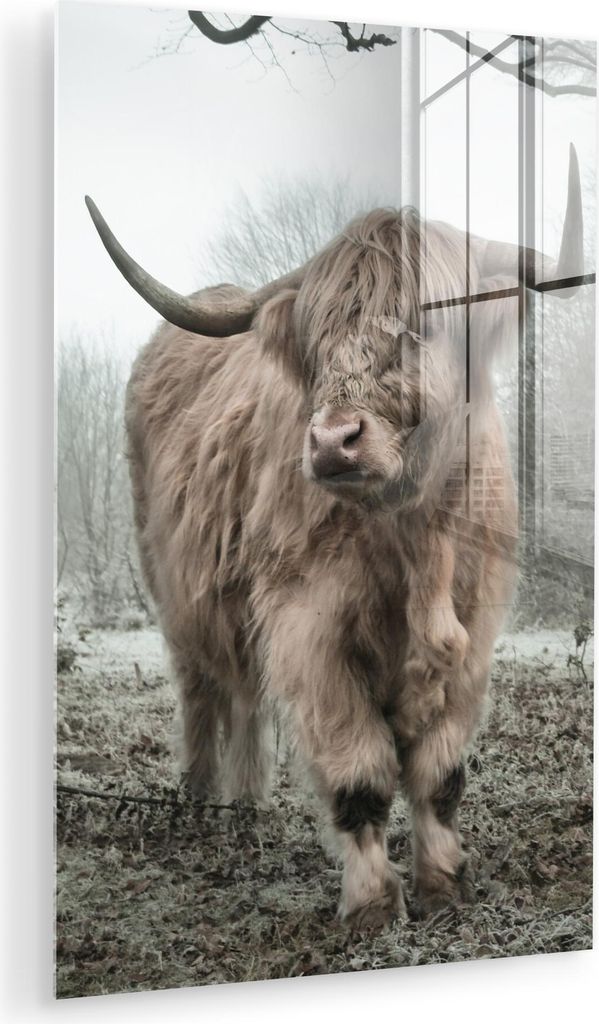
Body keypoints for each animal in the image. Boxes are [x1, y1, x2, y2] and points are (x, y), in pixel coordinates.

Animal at [85, 147, 582, 929]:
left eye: (422, 329)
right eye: (317, 341)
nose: (332, 442)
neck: (415, 543)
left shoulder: (474, 633)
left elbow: (440, 774)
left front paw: (444, 886)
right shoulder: (308, 629)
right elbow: (360, 773)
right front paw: (372, 906)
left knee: (245, 697)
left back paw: (246, 808)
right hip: (174, 591)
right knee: (202, 693)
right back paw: (201, 803)